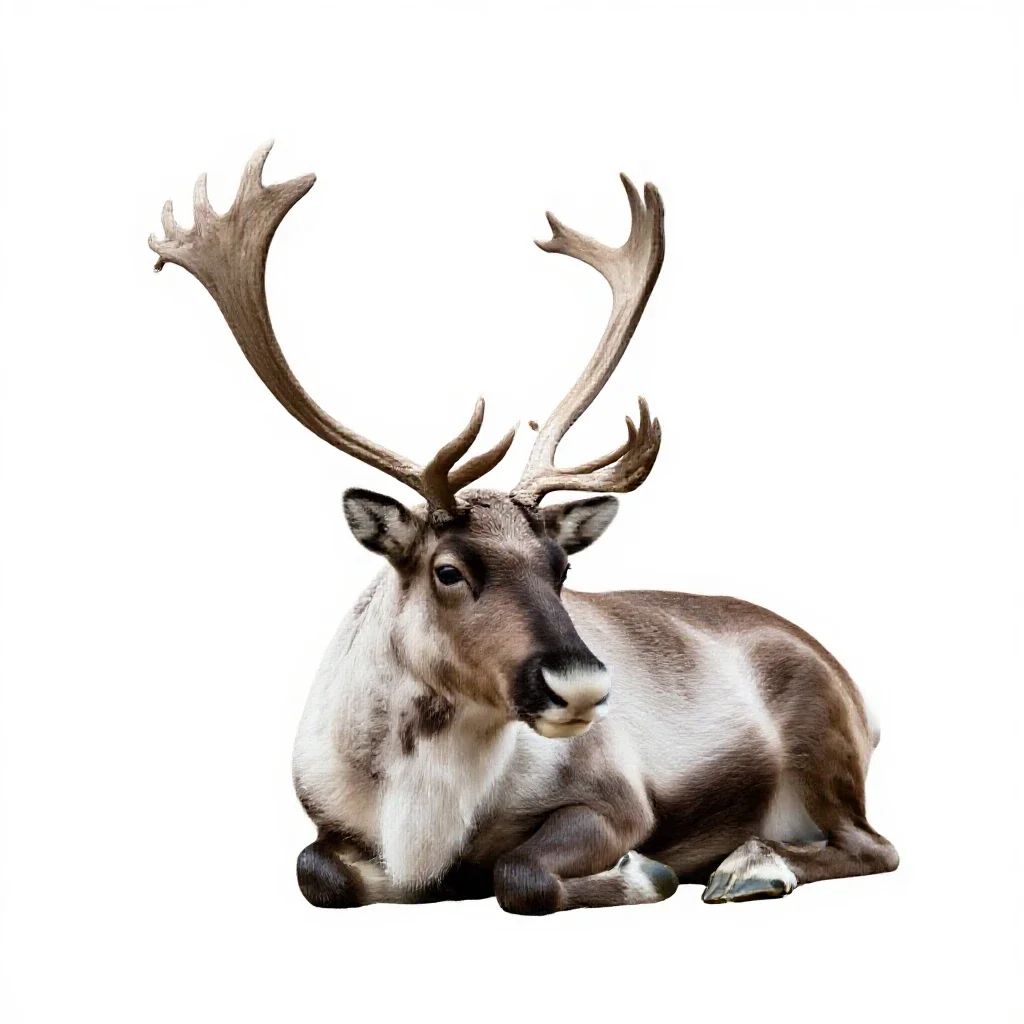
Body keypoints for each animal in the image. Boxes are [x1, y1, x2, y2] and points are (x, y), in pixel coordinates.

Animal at [149, 142, 898, 914]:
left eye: (561, 569)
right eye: (447, 570)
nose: (584, 687)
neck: (419, 823)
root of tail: (862, 697)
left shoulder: (619, 801)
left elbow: (523, 875)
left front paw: (642, 872)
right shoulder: (327, 824)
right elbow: (315, 873)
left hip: (822, 746)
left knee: (874, 847)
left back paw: (749, 866)